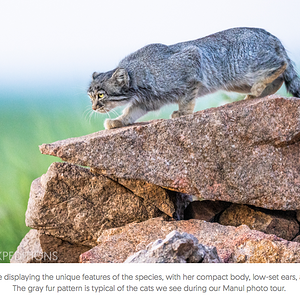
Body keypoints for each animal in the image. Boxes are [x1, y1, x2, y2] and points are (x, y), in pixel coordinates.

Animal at [88, 26, 298, 128]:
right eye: (90, 97)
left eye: (101, 95)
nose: (93, 107)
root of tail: (269, 33)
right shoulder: (146, 102)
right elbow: (130, 112)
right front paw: (119, 121)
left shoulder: (192, 63)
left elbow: (187, 98)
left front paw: (183, 113)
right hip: (236, 82)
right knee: (278, 79)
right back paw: (258, 92)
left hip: (246, 65)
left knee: (282, 63)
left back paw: (258, 88)